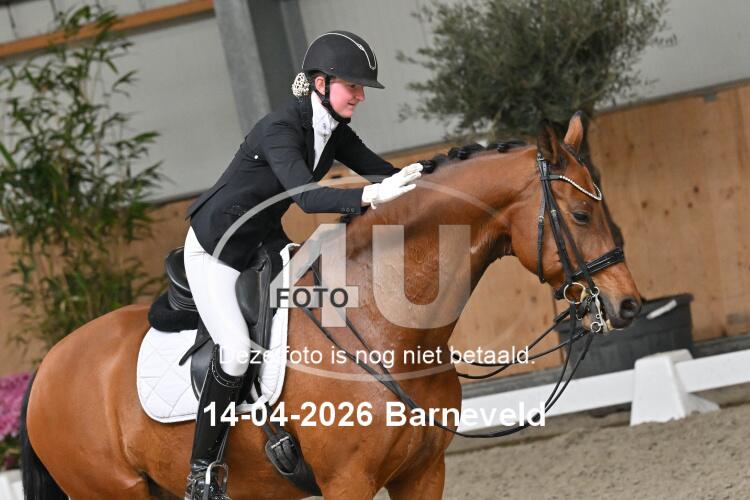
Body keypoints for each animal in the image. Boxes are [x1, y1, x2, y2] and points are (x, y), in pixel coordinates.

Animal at [20, 113, 640, 499]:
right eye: (580, 215)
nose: (628, 305)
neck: (386, 329)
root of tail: (47, 367)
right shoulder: (348, 482)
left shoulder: (423, 473)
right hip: (111, 490)